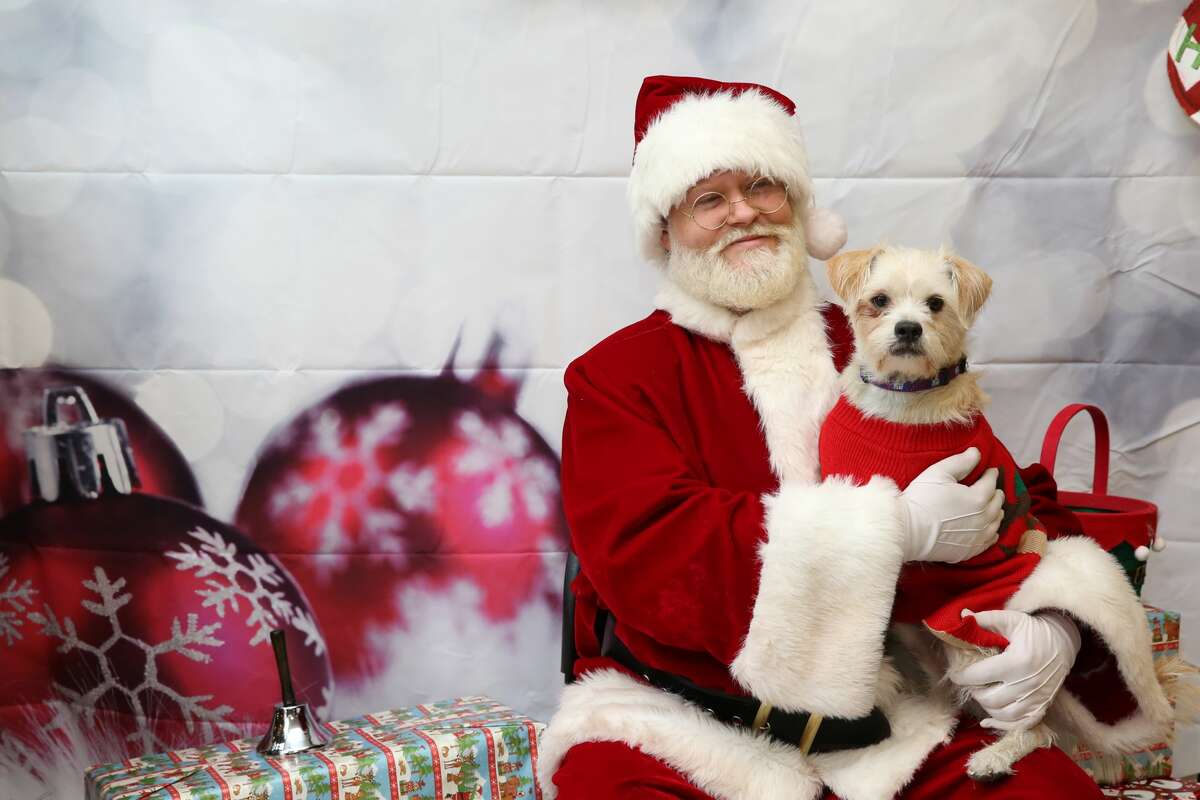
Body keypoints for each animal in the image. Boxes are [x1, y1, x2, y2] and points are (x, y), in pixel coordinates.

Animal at [820, 245, 1056, 782]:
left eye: (935, 304)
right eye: (879, 301)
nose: (908, 328)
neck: (901, 402)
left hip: (972, 642)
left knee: (1033, 723)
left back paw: (995, 756)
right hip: (914, 632)